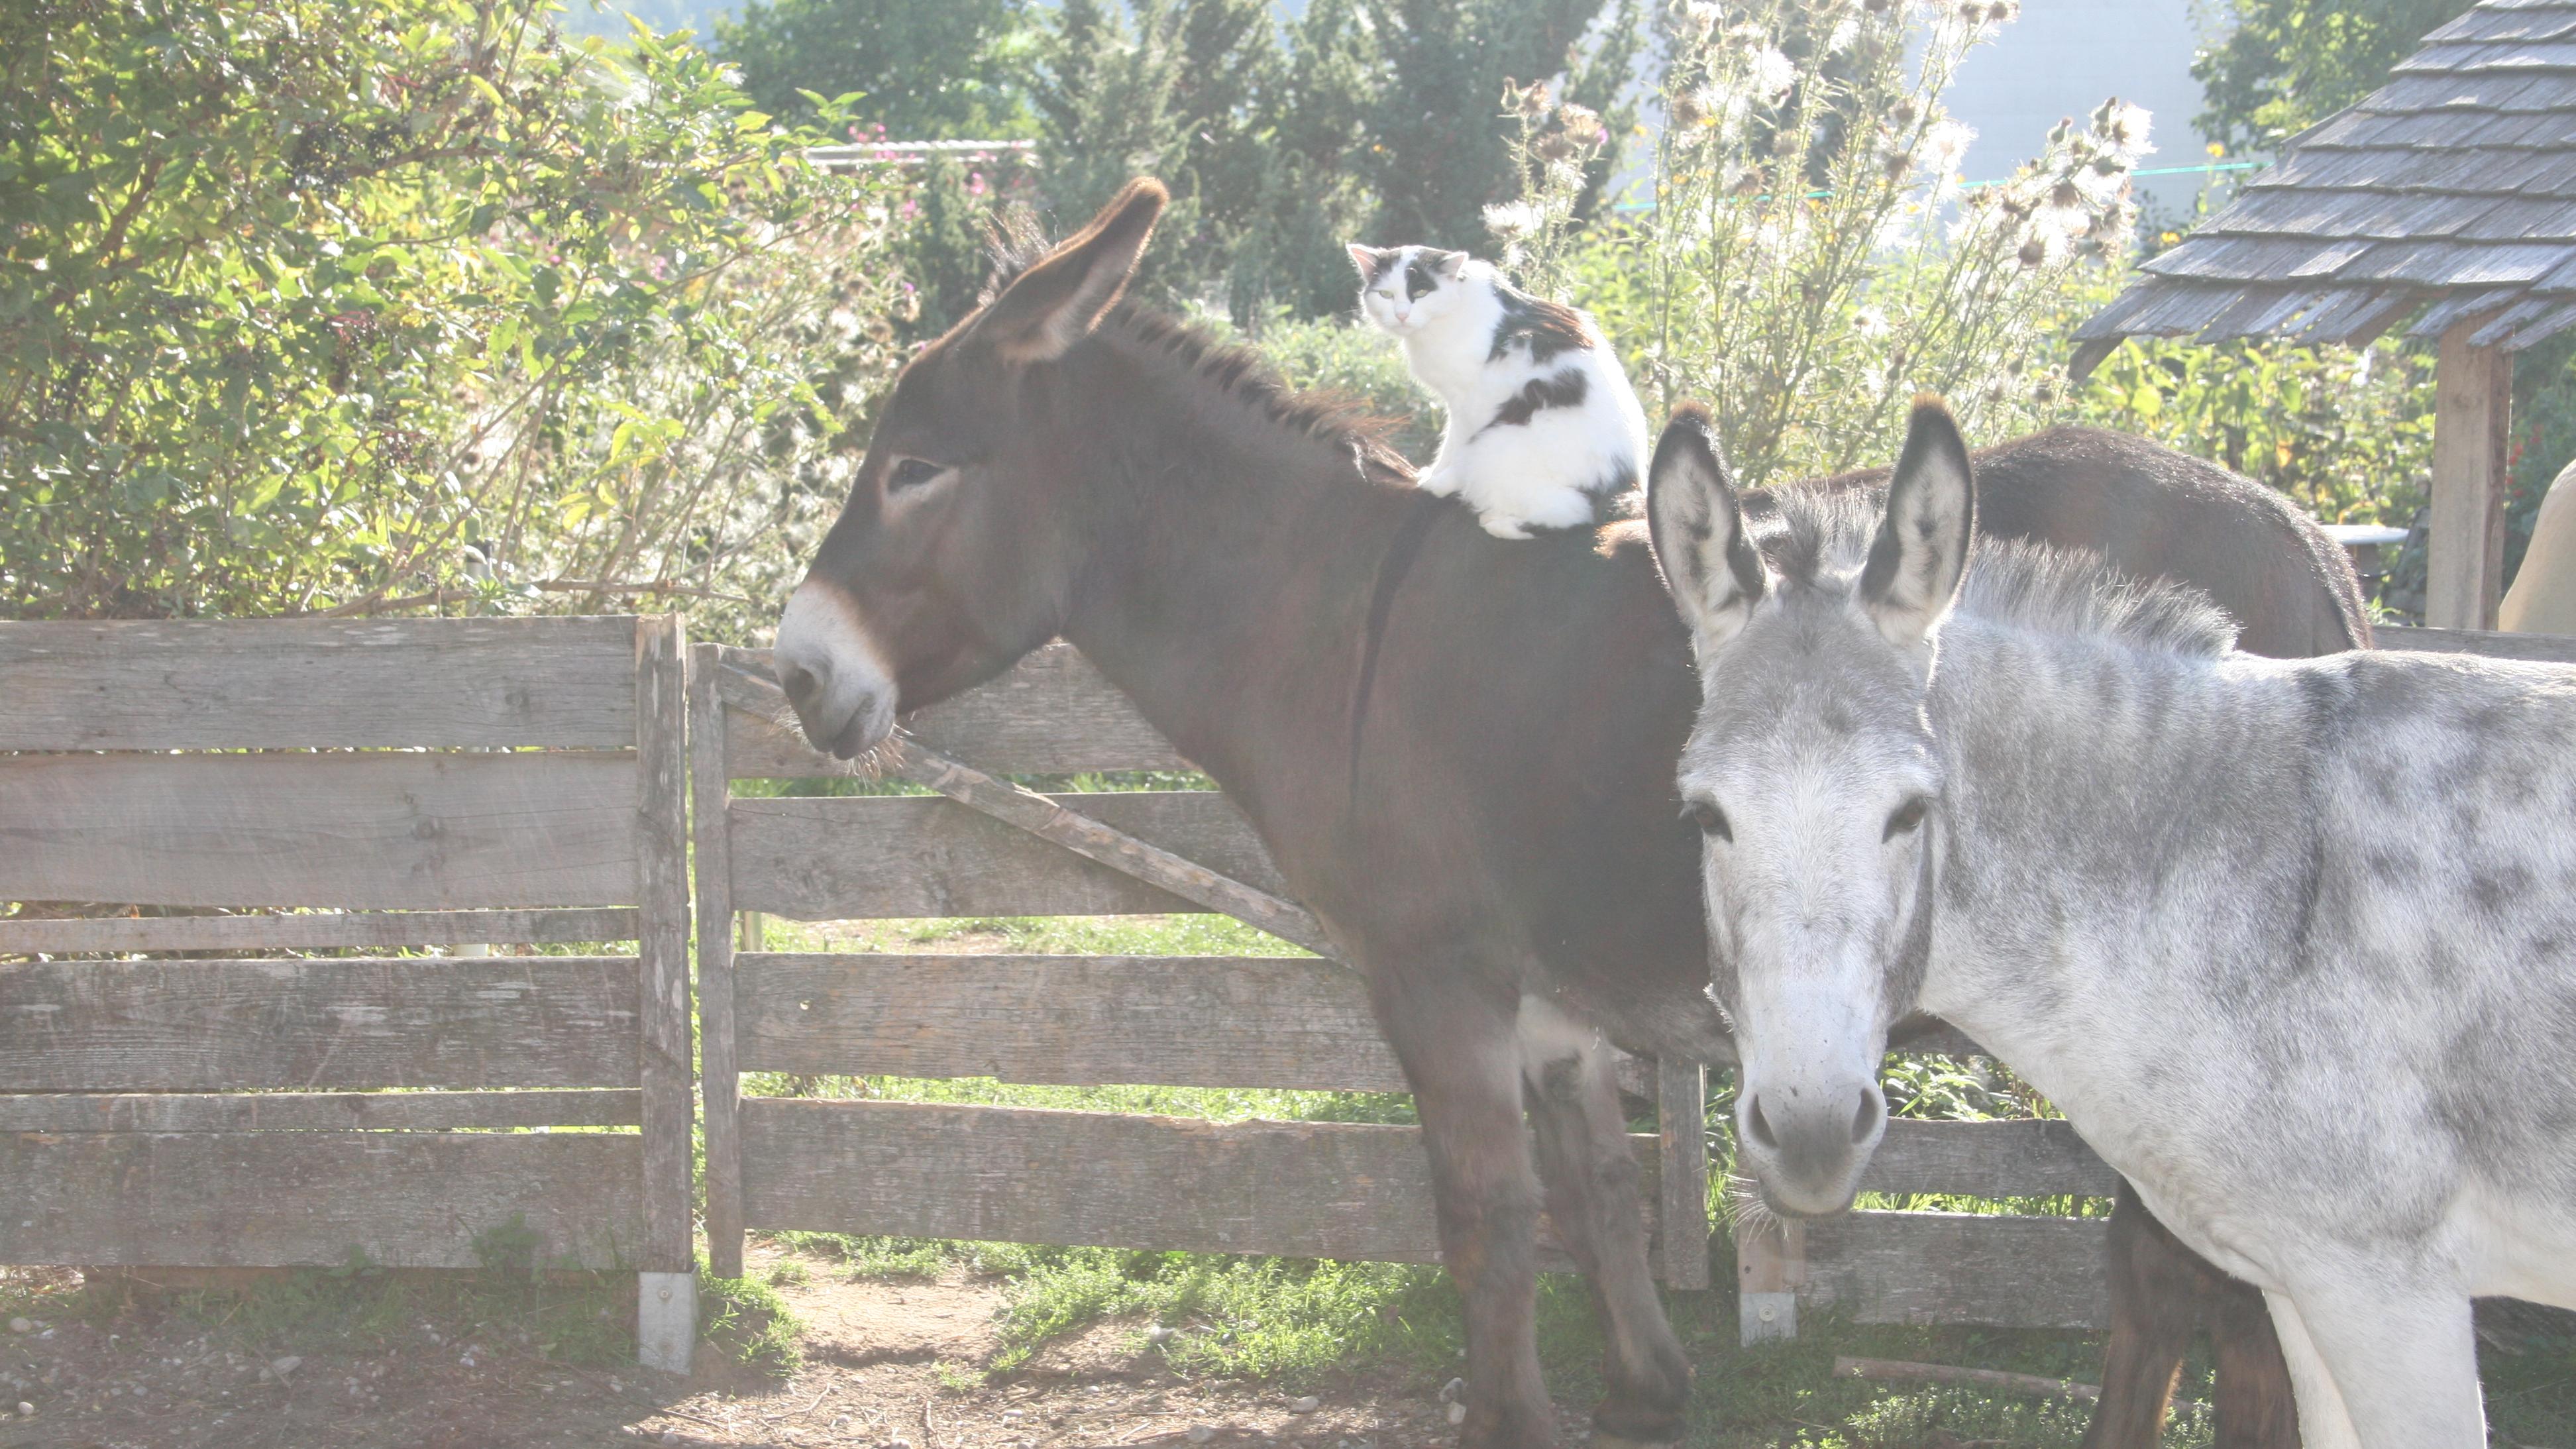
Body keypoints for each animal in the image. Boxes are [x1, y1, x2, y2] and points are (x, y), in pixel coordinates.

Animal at [1350, 242, 1648, 536]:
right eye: (1386, 295)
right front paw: (1431, 474)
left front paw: (1439, 483)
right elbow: (1449, 444)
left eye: (1421, 293)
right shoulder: (1455, 403)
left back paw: (1497, 523)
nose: (1401, 315)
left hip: (1501, 443)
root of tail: (1628, 485)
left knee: (1573, 514)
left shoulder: (1473, 402)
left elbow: (1456, 447)